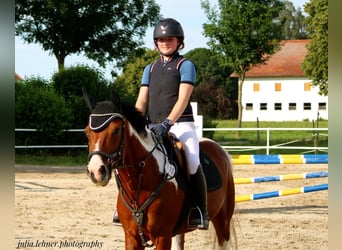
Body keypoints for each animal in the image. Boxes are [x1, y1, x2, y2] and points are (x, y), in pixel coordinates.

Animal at [83, 90, 235, 250]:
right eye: (87, 132)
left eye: (116, 130)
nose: (96, 171)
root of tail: (220, 149)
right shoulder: (131, 237)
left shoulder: (162, 236)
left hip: (222, 220)